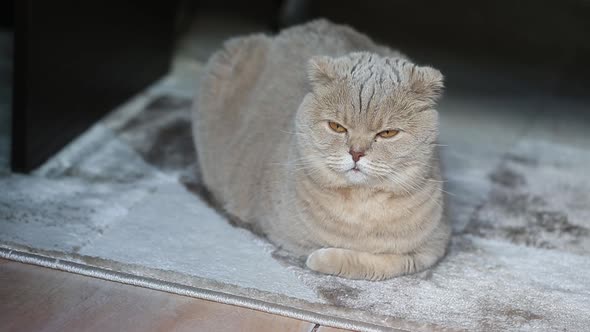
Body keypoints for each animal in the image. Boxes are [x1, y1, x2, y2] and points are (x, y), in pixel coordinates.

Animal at [192, 19, 450, 280]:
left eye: (387, 133)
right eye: (337, 127)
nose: (356, 152)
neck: (362, 207)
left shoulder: (435, 244)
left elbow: (389, 262)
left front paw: (328, 258)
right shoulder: (283, 234)